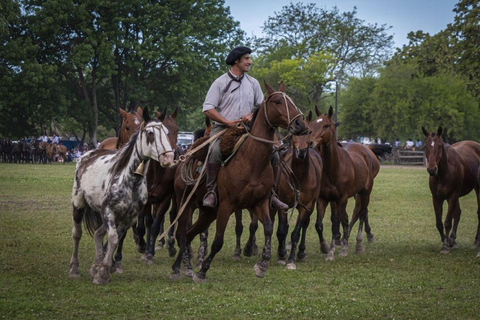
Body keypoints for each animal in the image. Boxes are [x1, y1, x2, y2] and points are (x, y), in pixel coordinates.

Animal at [68, 107, 175, 284]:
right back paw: (74, 268)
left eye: (167, 132)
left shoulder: (129, 217)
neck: (130, 181)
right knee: (77, 234)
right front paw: (103, 273)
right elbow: (113, 238)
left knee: (98, 233)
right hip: (79, 203)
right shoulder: (108, 210)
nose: (168, 157)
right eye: (150, 133)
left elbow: (116, 237)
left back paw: (95, 265)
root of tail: (86, 155)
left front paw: (103, 268)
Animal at [420, 126, 480, 256]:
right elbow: (439, 223)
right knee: (458, 213)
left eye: (439, 146)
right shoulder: (437, 198)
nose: (431, 169)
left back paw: (476, 241)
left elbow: (447, 221)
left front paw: (445, 247)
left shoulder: (452, 196)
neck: (444, 173)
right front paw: (447, 240)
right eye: (425, 146)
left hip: (477, 189)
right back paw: (453, 239)